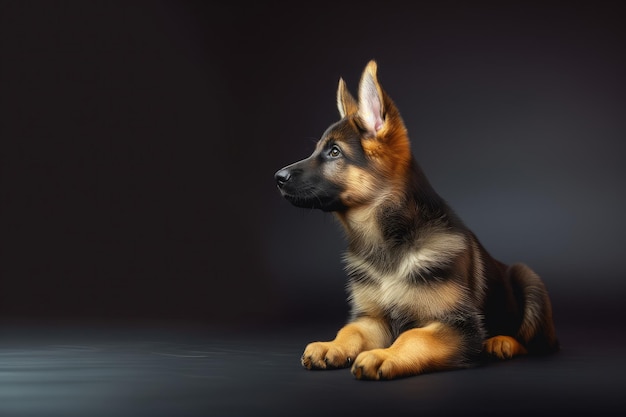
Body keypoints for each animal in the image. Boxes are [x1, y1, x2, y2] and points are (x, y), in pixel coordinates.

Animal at [272, 60, 556, 378]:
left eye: (334, 152)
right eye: (319, 149)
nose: (277, 177)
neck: (386, 243)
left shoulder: (459, 325)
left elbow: (414, 336)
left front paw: (383, 355)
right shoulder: (372, 319)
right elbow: (351, 330)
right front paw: (331, 345)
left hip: (528, 281)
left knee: (535, 342)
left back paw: (501, 342)